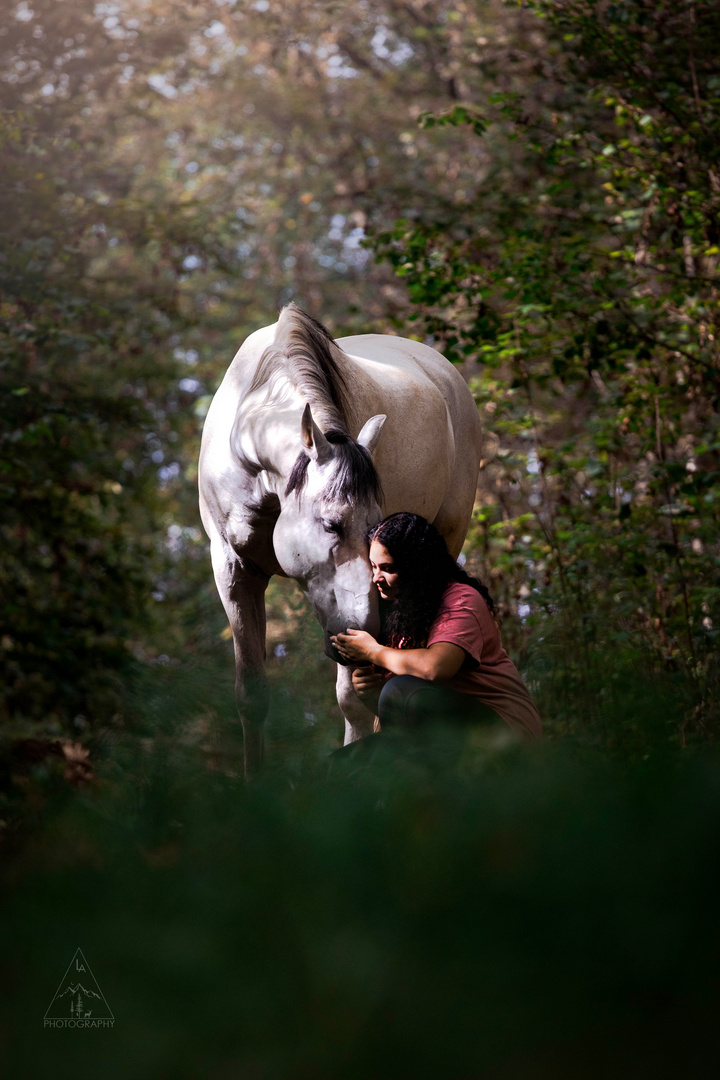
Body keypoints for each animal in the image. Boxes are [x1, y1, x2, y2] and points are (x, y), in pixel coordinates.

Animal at [197, 304, 481, 777]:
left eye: (374, 529)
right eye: (331, 525)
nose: (367, 624)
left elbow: (353, 703)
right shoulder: (233, 570)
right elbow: (252, 697)